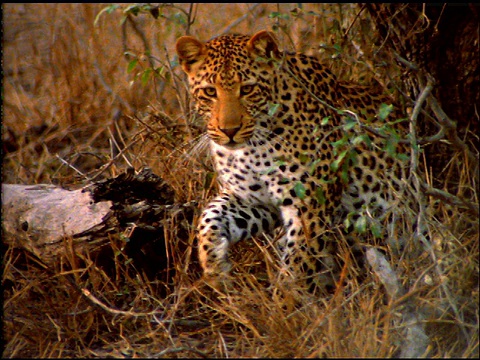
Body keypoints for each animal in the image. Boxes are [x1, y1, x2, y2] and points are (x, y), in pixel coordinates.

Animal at [175, 28, 416, 292]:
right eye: (210, 92)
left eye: (247, 89)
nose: (229, 130)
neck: (250, 149)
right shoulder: (253, 200)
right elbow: (209, 217)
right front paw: (215, 268)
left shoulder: (309, 204)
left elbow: (297, 266)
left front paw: (285, 300)